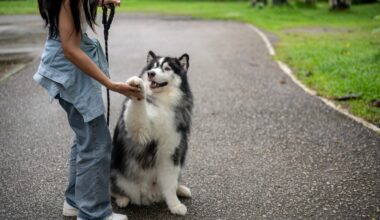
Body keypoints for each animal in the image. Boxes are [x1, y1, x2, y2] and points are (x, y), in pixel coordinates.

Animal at [109, 50, 193, 215]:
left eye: (167, 68)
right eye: (153, 66)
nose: (151, 74)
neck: (162, 103)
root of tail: (148, 195)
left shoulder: (171, 151)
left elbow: (170, 184)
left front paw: (175, 205)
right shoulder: (141, 130)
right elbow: (137, 109)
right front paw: (138, 84)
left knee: (174, 182)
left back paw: (181, 189)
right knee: (113, 190)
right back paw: (122, 198)